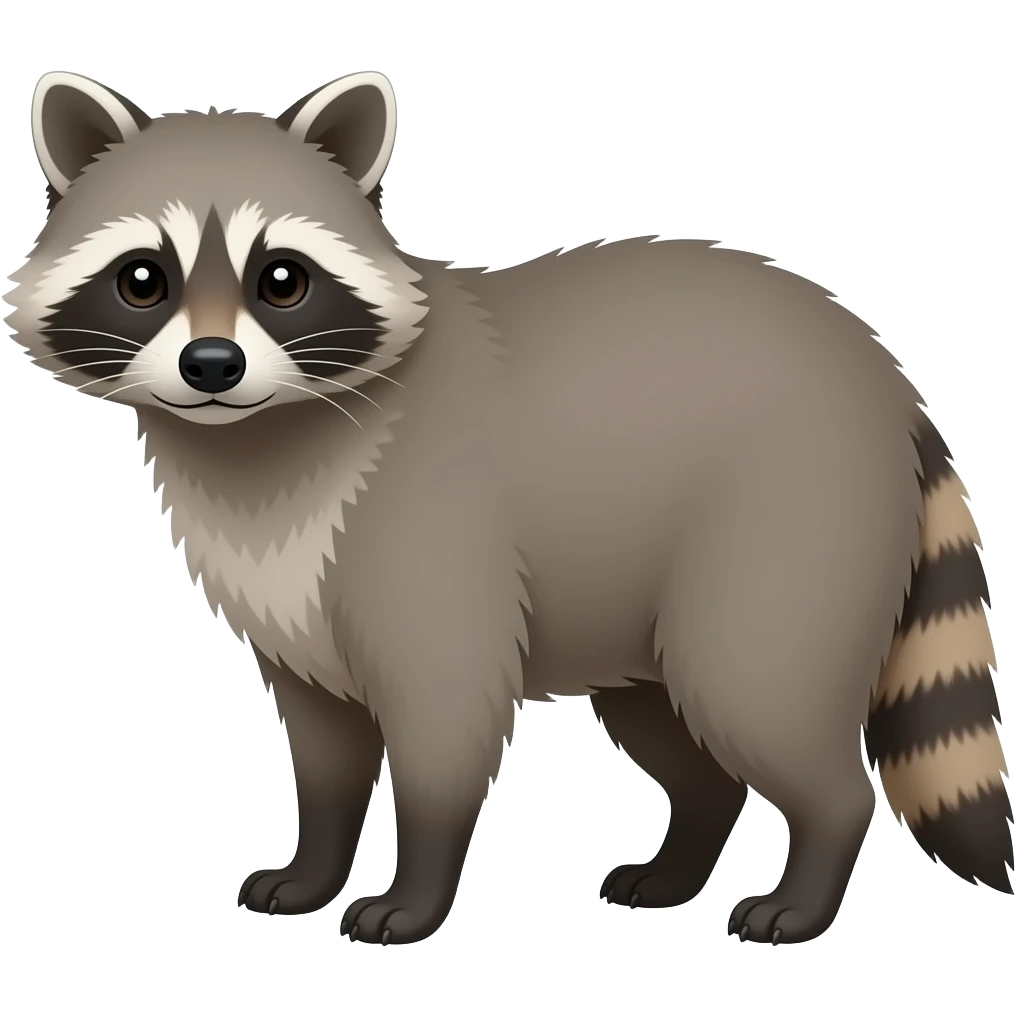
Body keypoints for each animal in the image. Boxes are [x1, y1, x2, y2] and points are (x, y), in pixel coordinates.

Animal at [6, 69, 1012, 948]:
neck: (253, 435)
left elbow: (443, 726)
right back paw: (679, 862)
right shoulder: (290, 602)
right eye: (144, 279)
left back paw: (806, 886)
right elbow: (324, 749)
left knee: (766, 700)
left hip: (786, 527)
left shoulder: (430, 526)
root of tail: (885, 376)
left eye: (281, 280)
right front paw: (312, 867)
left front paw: (413, 895)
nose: (211, 365)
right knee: (675, 734)